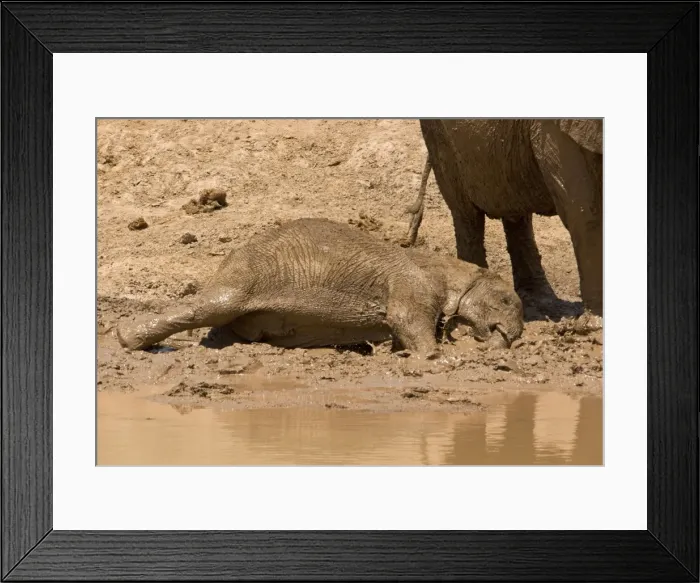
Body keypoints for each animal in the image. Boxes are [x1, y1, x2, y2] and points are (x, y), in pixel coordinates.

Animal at [403, 119, 603, 318]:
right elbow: (585, 212)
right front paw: (594, 322)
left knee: (517, 213)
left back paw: (541, 302)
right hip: (439, 137)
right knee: (466, 214)